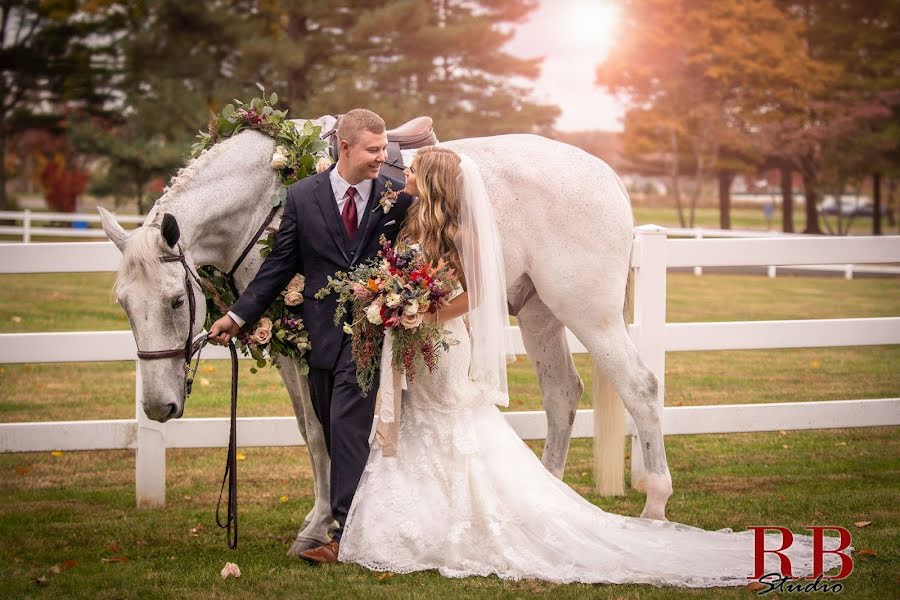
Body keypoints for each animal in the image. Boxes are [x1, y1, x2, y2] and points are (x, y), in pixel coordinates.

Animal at [102, 120, 672, 552]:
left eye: (176, 301)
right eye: (124, 304)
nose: (157, 407)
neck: (267, 196)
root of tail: (607, 176)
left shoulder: (310, 346)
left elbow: (323, 431)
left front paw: (323, 526)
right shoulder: (289, 347)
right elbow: (311, 431)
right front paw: (322, 520)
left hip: (589, 314)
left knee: (641, 391)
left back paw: (655, 507)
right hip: (540, 314)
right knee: (561, 395)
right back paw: (550, 500)